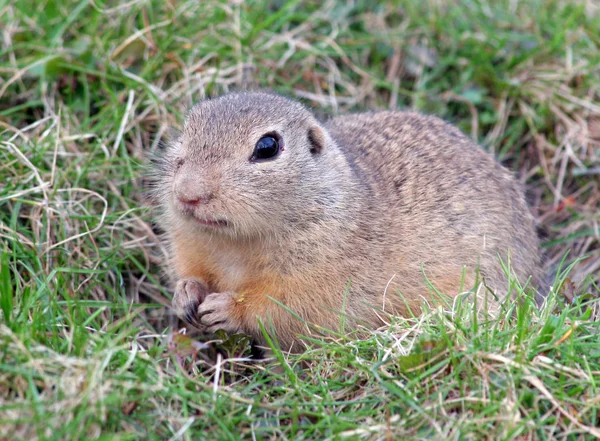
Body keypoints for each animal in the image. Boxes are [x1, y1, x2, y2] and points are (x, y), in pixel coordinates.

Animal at [149, 90, 540, 350]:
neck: (234, 246)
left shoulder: (316, 276)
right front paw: (187, 293)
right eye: (186, 131)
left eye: (267, 147)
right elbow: (191, 269)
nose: (188, 193)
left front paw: (226, 308)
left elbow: (280, 307)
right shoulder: (191, 244)